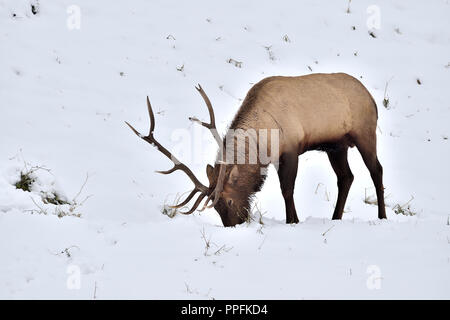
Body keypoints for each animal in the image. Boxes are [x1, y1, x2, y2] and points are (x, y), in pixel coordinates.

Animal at [126, 72, 386, 228]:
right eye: (216, 208)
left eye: (229, 201)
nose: (235, 225)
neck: (263, 139)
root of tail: (372, 98)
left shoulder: (290, 150)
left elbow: (287, 190)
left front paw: (293, 221)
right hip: (336, 146)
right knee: (346, 177)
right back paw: (335, 217)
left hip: (365, 133)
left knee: (376, 170)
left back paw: (382, 216)